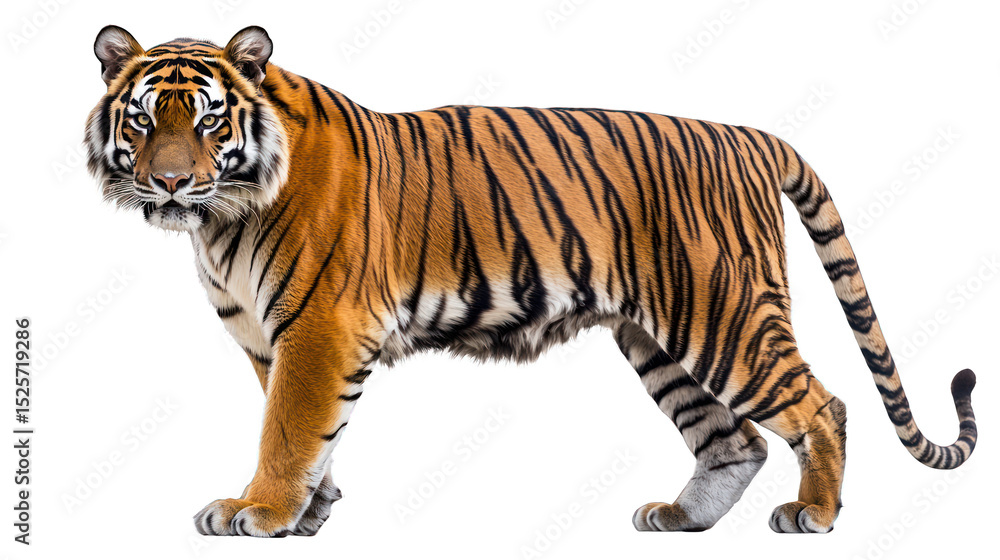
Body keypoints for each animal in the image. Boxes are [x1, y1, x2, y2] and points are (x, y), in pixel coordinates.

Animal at [86, 25, 978, 537]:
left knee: (820, 406)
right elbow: (312, 436)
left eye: (208, 120)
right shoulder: (272, 340)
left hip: (722, 316)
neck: (222, 218)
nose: (170, 183)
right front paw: (308, 512)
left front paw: (259, 511)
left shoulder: (317, 330)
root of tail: (751, 135)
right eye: (144, 119)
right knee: (735, 439)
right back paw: (681, 518)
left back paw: (815, 515)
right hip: (657, 338)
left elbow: (288, 431)